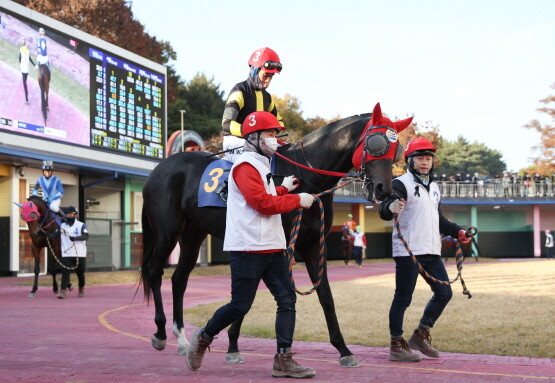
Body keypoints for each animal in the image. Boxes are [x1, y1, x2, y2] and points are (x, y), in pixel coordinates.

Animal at [139, 103, 412, 368]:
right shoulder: (279, 247)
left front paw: (343, 350)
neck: (307, 176)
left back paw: (182, 339)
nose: (383, 189)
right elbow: (270, 295)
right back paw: (161, 333)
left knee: (179, 279)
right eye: (376, 144)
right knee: (154, 271)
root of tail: (159, 169)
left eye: (396, 149)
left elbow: (324, 296)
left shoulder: (313, 245)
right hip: (166, 233)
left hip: (193, 234)